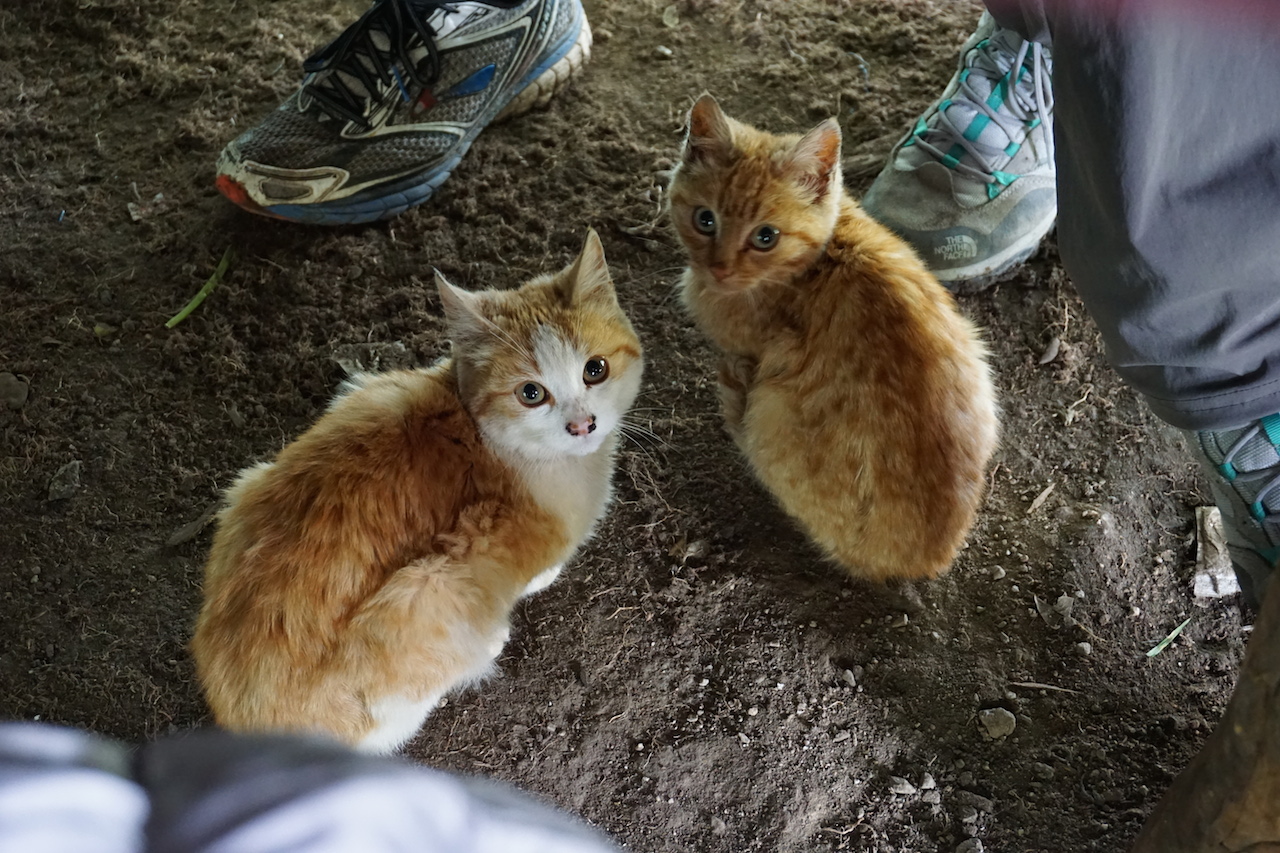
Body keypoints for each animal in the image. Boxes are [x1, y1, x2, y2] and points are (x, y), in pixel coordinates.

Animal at [188, 227, 640, 753]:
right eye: (531, 393)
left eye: (595, 369)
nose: (582, 425)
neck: (488, 437)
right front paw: (538, 580)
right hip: (425, 588)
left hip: (245, 488)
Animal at [665, 96, 1003, 581]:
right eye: (704, 220)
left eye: (765, 237)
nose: (720, 270)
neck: (823, 253)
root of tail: (931, 559)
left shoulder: (749, 352)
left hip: (771, 412)